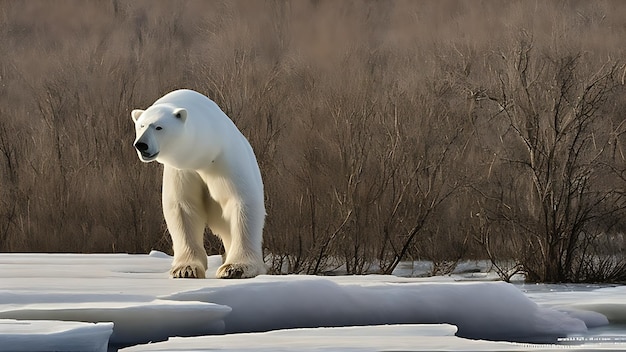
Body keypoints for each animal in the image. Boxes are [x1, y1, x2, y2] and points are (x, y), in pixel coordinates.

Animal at [132, 89, 266, 280]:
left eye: (158, 127)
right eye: (141, 126)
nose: (141, 145)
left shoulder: (225, 159)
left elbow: (241, 201)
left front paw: (235, 268)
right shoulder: (183, 171)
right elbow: (184, 207)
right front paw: (185, 269)